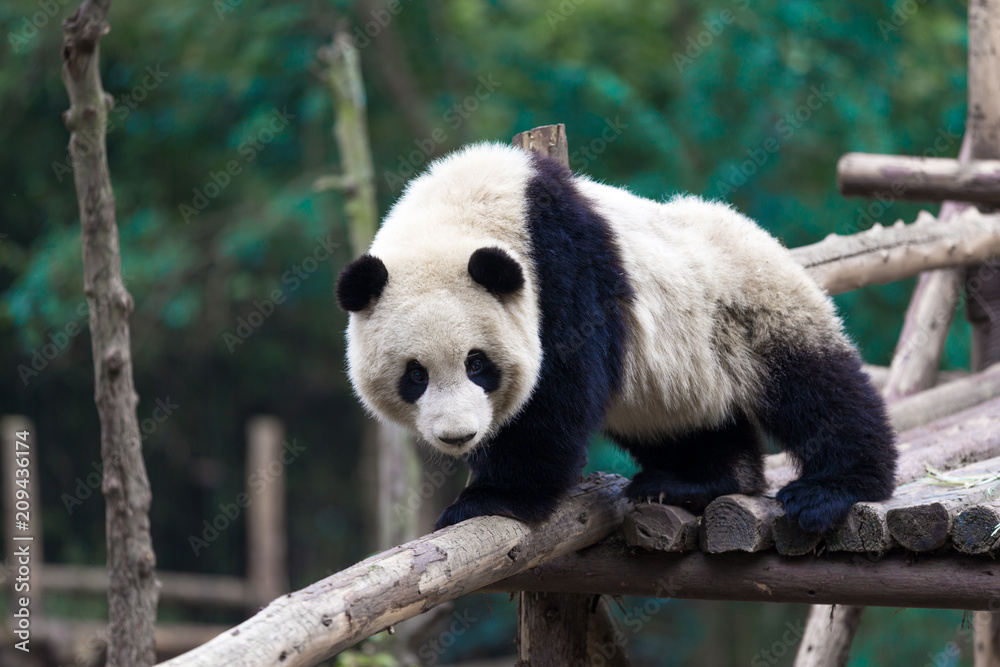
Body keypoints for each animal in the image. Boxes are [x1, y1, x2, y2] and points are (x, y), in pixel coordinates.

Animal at [335, 142, 897, 534]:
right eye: (415, 375)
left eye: (478, 364)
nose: (458, 436)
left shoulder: (560, 266)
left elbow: (560, 386)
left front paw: (494, 497)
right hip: (684, 375)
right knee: (688, 424)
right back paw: (701, 479)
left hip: (753, 306)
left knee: (819, 390)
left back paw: (832, 489)